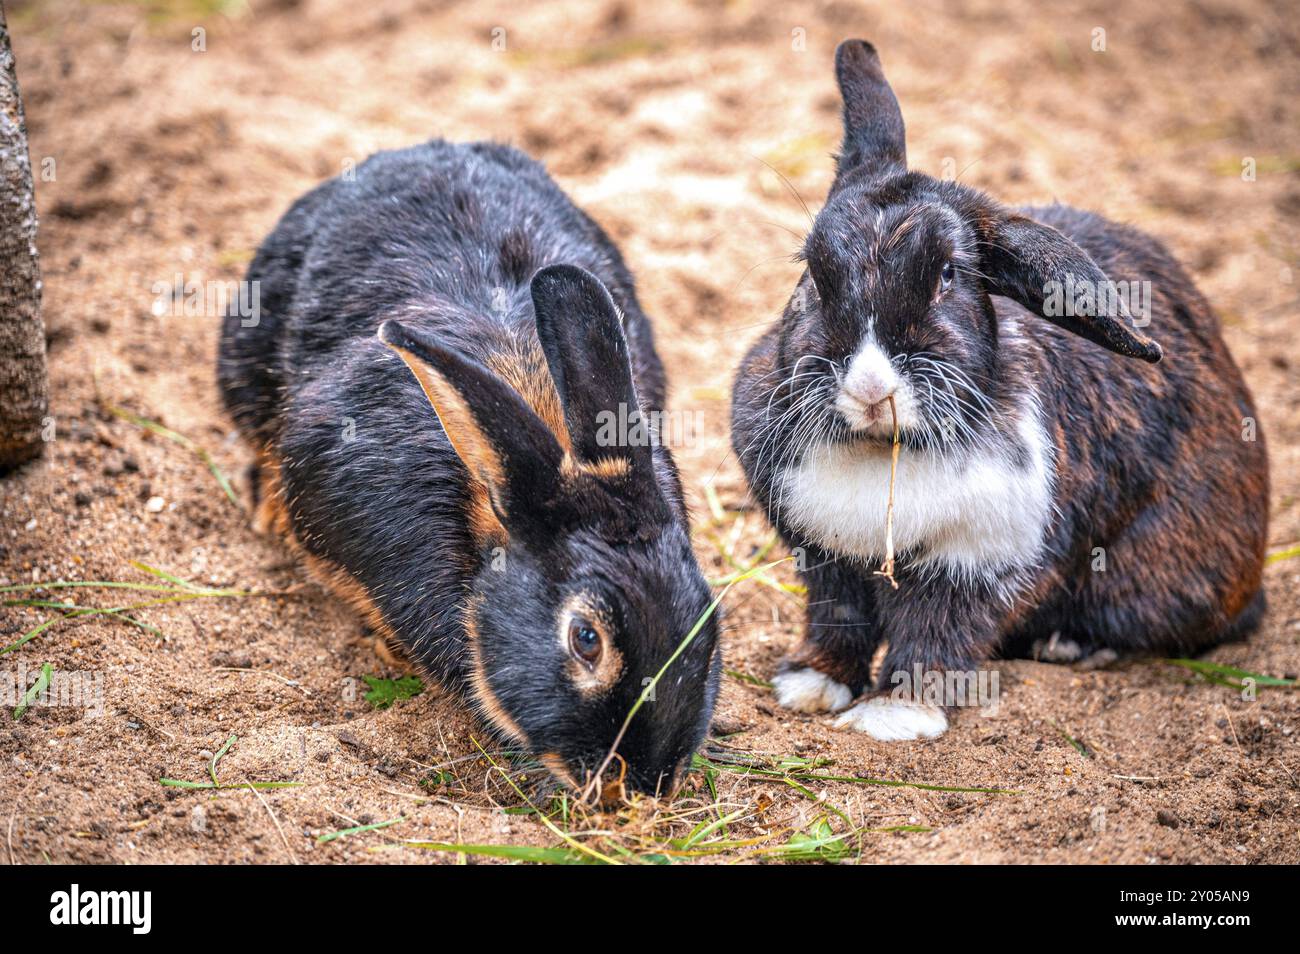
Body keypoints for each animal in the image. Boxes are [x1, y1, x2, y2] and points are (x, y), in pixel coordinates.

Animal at [731, 40, 1269, 741]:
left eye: (948, 276)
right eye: (812, 273)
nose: (871, 386)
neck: (885, 451)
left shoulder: (977, 565)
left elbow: (934, 638)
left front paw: (894, 718)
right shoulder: (826, 561)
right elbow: (838, 624)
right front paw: (810, 689)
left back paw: (1073, 646)